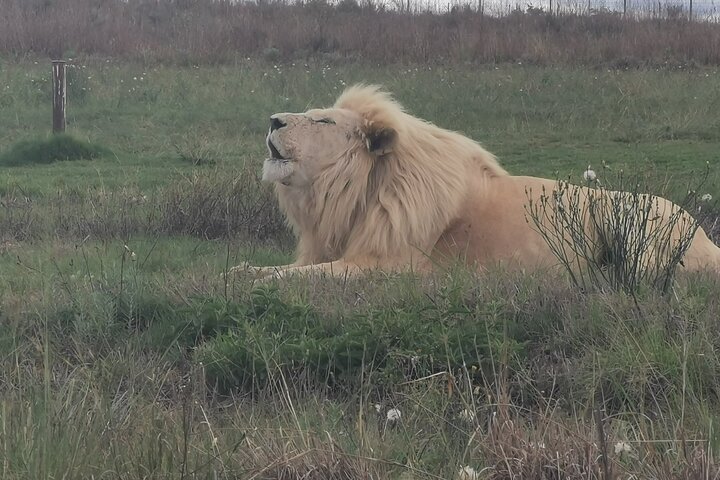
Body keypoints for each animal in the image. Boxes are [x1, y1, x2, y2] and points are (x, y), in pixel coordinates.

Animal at [234, 84, 720, 279]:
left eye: (322, 120)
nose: (273, 120)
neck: (353, 195)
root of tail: (705, 236)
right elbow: (284, 269)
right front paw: (240, 271)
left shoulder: (391, 265)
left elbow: (302, 277)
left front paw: (250, 278)